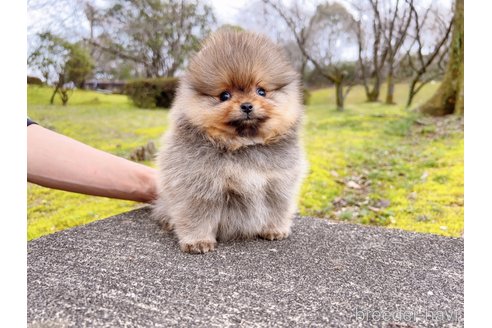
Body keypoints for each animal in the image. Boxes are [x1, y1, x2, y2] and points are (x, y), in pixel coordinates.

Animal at [153, 30, 308, 254]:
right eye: (224, 95)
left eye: (261, 91)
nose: (247, 105)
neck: (244, 145)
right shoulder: (198, 187)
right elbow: (197, 217)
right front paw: (198, 241)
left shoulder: (278, 185)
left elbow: (276, 209)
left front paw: (274, 229)